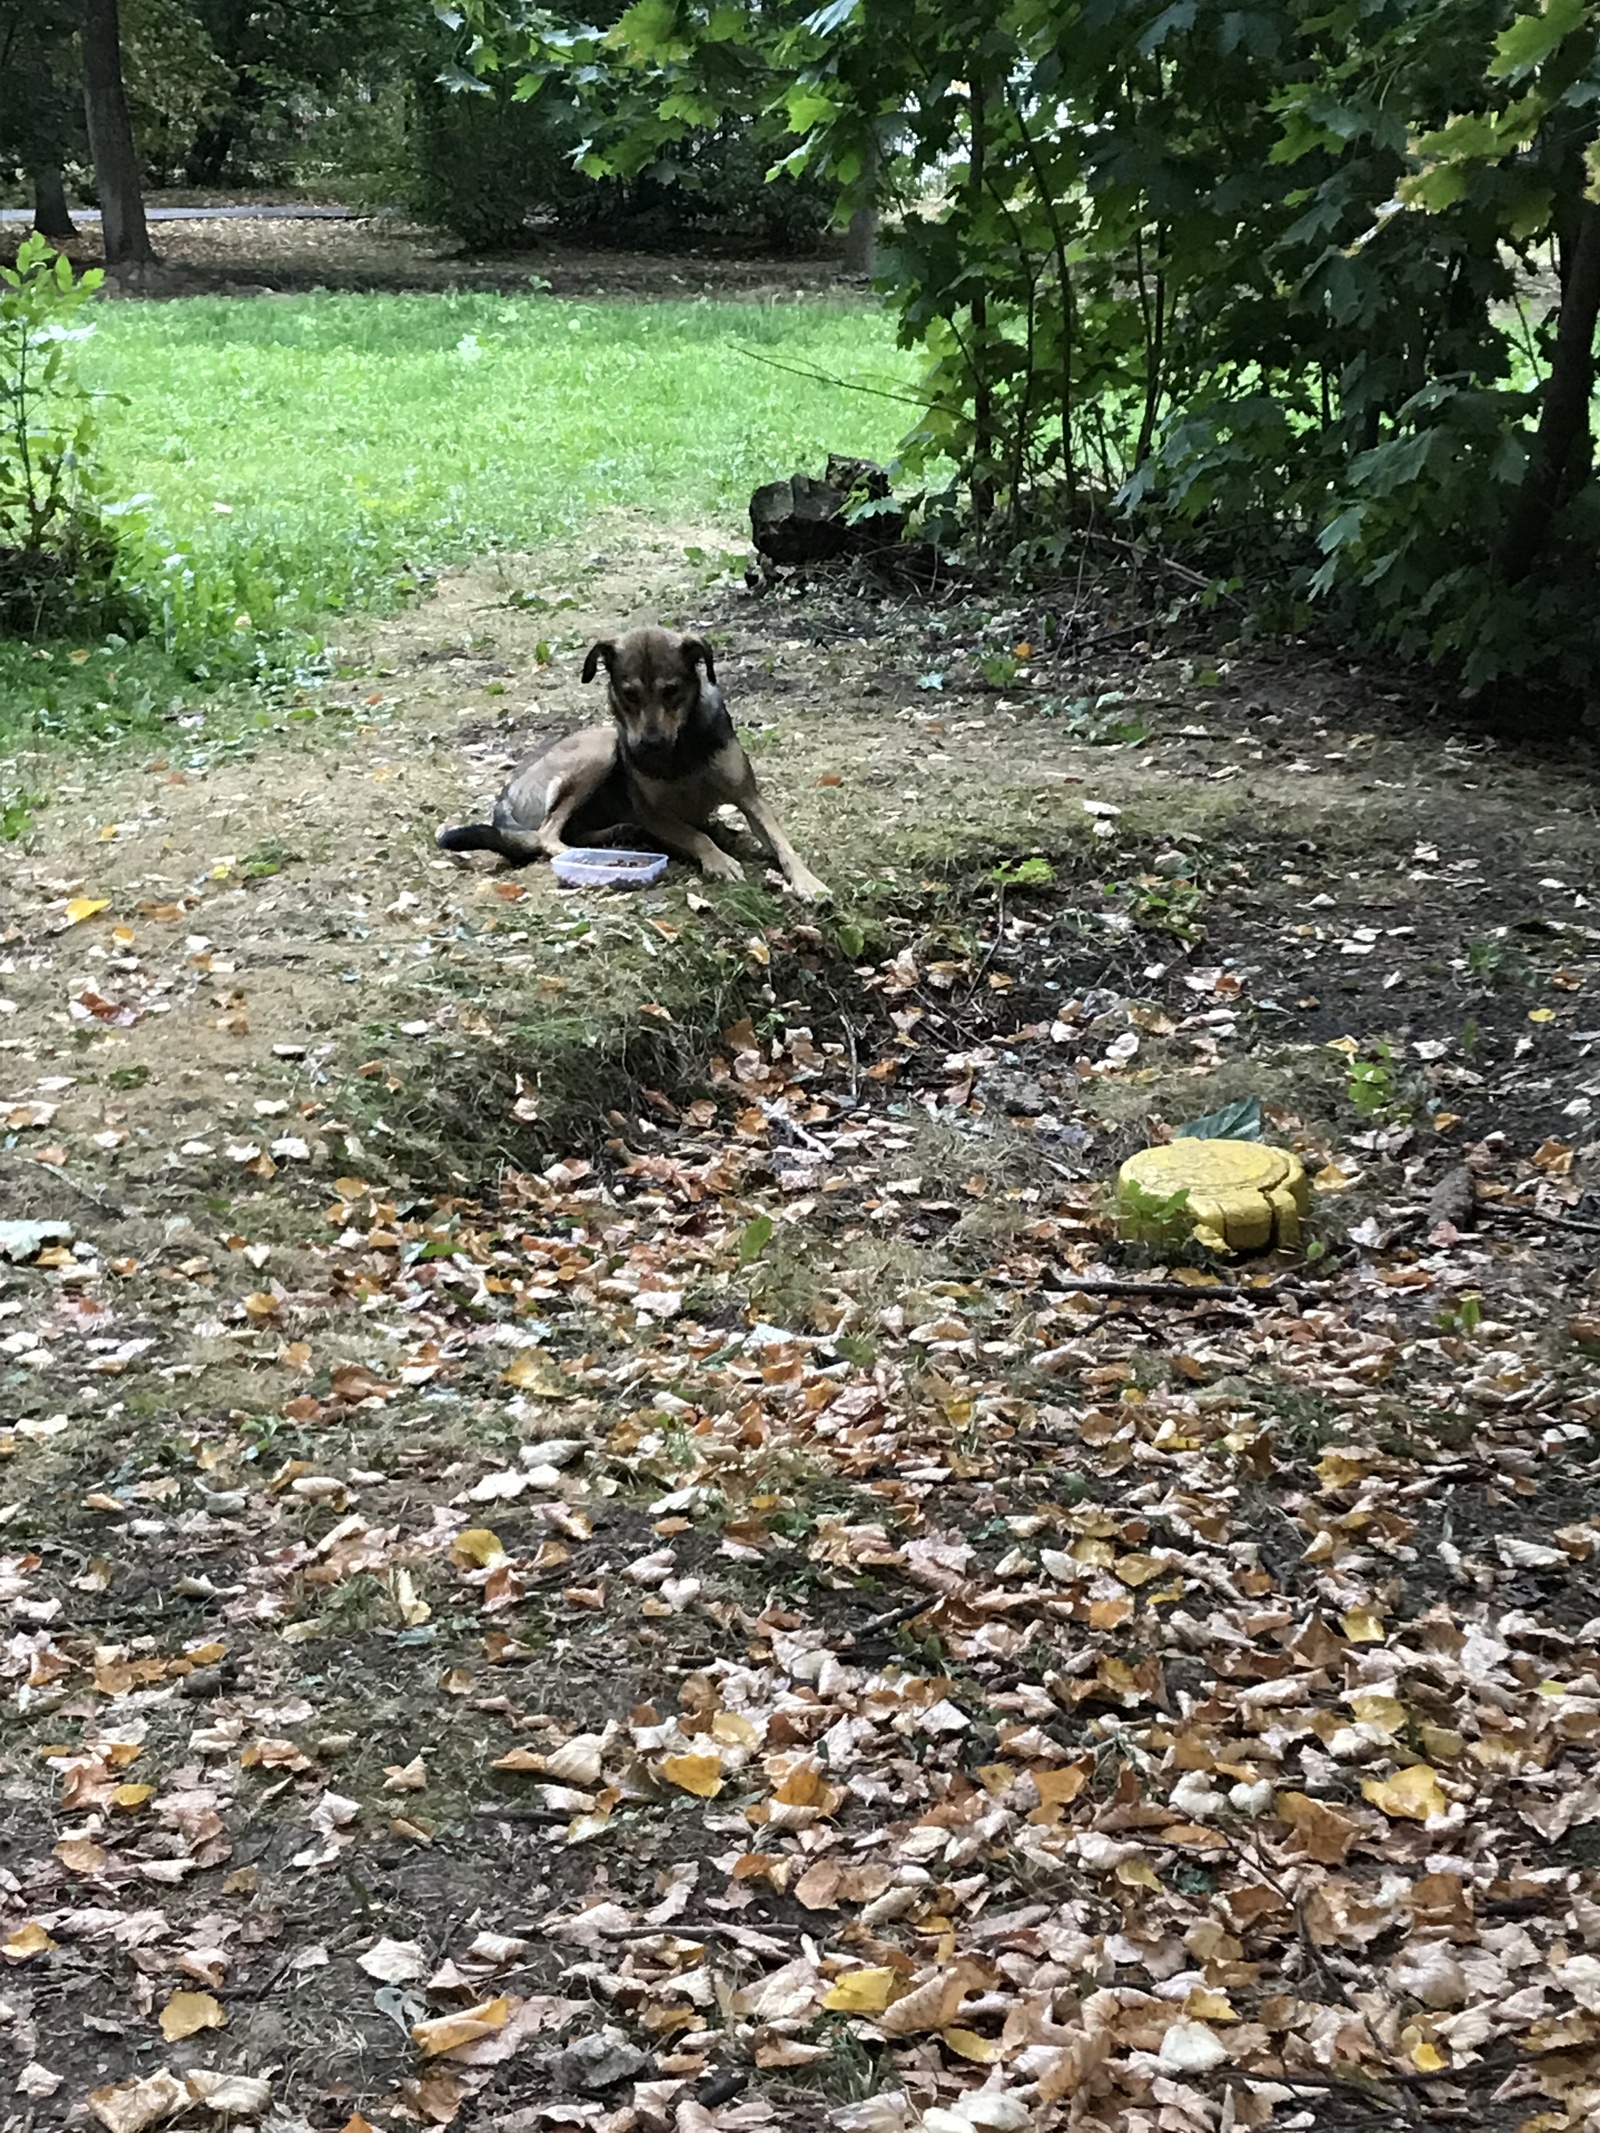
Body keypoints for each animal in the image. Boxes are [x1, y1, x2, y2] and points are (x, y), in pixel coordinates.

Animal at [441, 627, 832, 904]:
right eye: (628, 694)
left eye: (671, 691)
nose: (649, 745)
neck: (680, 747)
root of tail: (504, 798)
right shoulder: (654, 813)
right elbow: (697, 835)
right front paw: (720, 861)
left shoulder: (749, 797)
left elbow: (782, 845)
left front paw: (808, 882)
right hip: (602, 749)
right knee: (547, 834)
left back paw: (620, 833)